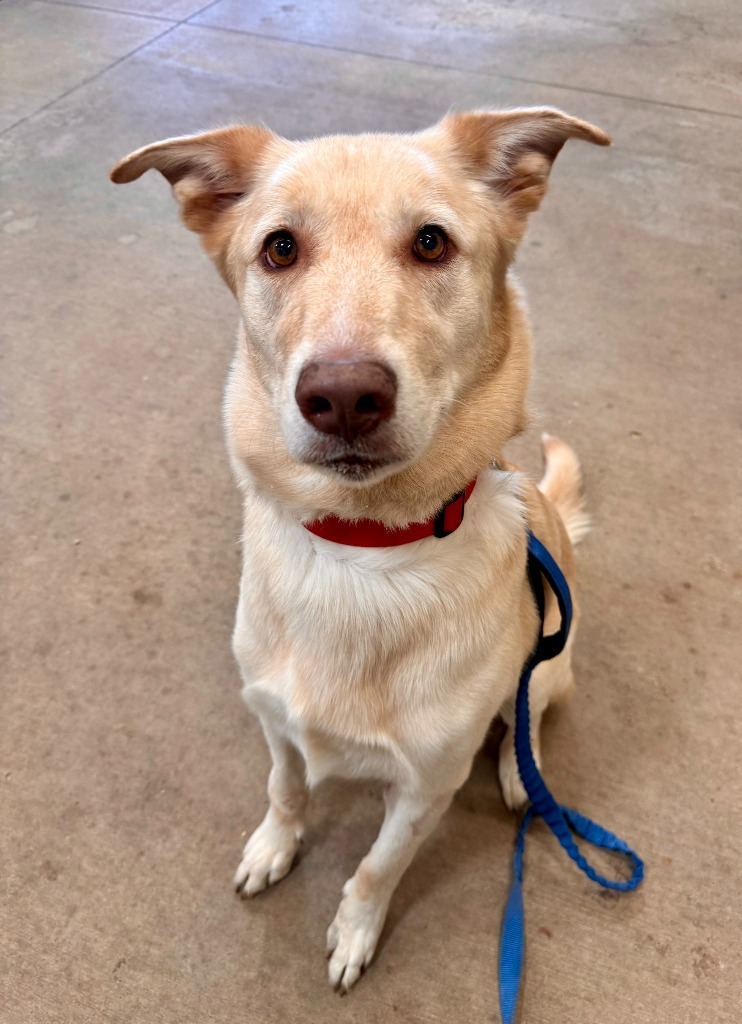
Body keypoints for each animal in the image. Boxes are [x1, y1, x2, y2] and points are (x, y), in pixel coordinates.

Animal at [110, 105, 605, 991]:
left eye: (432, 242)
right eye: (279, 248)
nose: (343, 396)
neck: (364, 549)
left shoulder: (425, 789)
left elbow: (378, 867)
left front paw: (355, 930)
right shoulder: (272, 721)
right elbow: (285, 789)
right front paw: (274, 846)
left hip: (553, 663)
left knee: (529, 716)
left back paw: (524, 774)